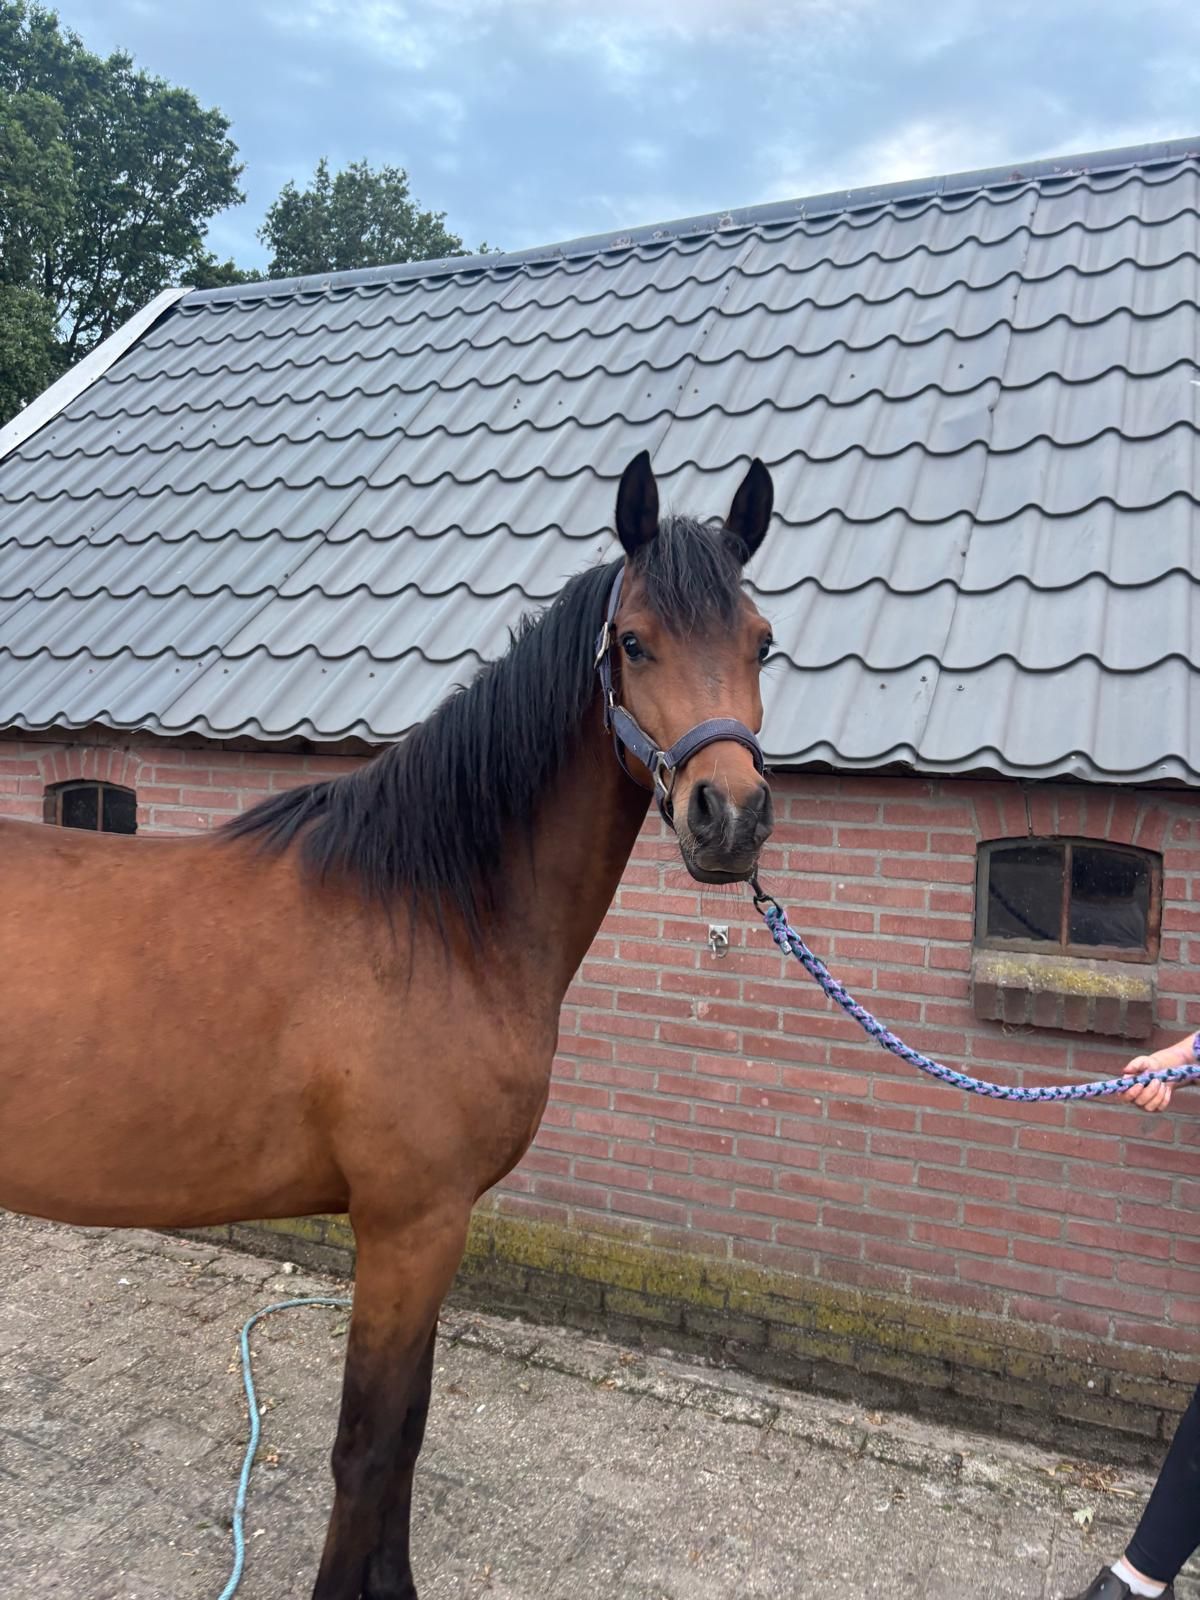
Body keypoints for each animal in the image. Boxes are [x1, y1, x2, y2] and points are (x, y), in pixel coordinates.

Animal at [0, 450, 777, 1599]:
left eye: (762, 642)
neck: (436, 912)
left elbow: (406, 1432)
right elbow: (367, 1446)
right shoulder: (408, 1226)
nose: (731, 818)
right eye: (634, 641)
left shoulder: (436, 1230)